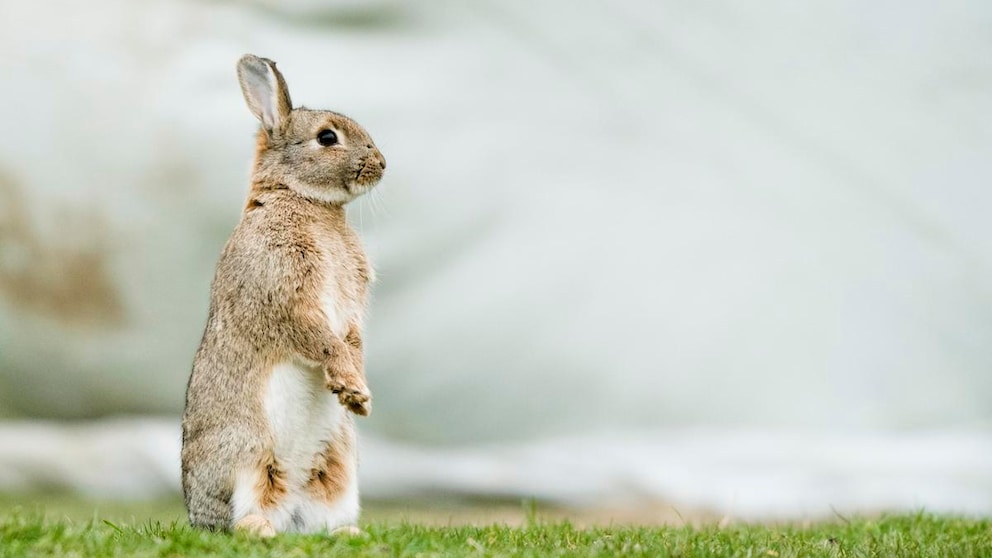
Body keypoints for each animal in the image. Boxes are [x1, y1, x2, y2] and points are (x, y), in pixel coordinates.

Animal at [182, 53, 388, 540]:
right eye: (327, 137)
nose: (383, 164)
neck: (307, 201)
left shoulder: (351, 307)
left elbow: (351, 339)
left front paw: (358, 394)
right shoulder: (285, 294)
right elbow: (321, 338)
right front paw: (350, 386)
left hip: (339, 471)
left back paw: (348, 534)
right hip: (244, 457)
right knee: (240, 520)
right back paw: (261, 529)